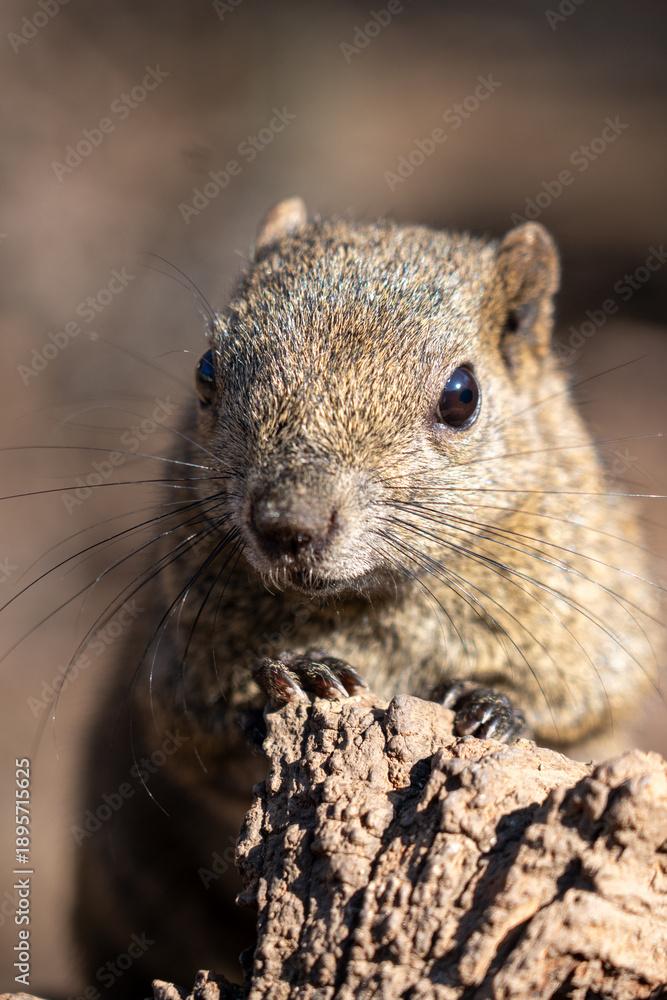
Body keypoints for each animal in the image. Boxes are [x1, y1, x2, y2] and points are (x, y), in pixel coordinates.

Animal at [72, 198, 660, 994]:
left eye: (462, 396)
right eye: (206, 371)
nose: (287, 523)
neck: (372, 605)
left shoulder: (596, 618)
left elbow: (587, 706)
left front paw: (495, 709)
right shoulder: (174, 668)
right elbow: (197, 729)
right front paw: (299, 675)